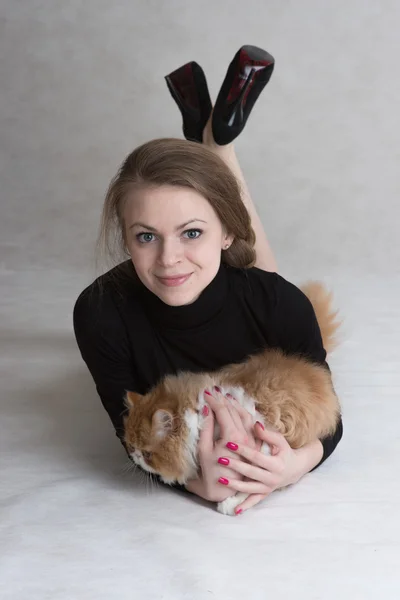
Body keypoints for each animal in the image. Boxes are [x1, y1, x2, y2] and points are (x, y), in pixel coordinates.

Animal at [122, 282, 340, 516]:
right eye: (131, 446)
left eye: (147, 454)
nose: (135, 456)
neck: (195, 415)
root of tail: (312, 370)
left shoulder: (263, 440)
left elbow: (252, 480)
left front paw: (232, 504)